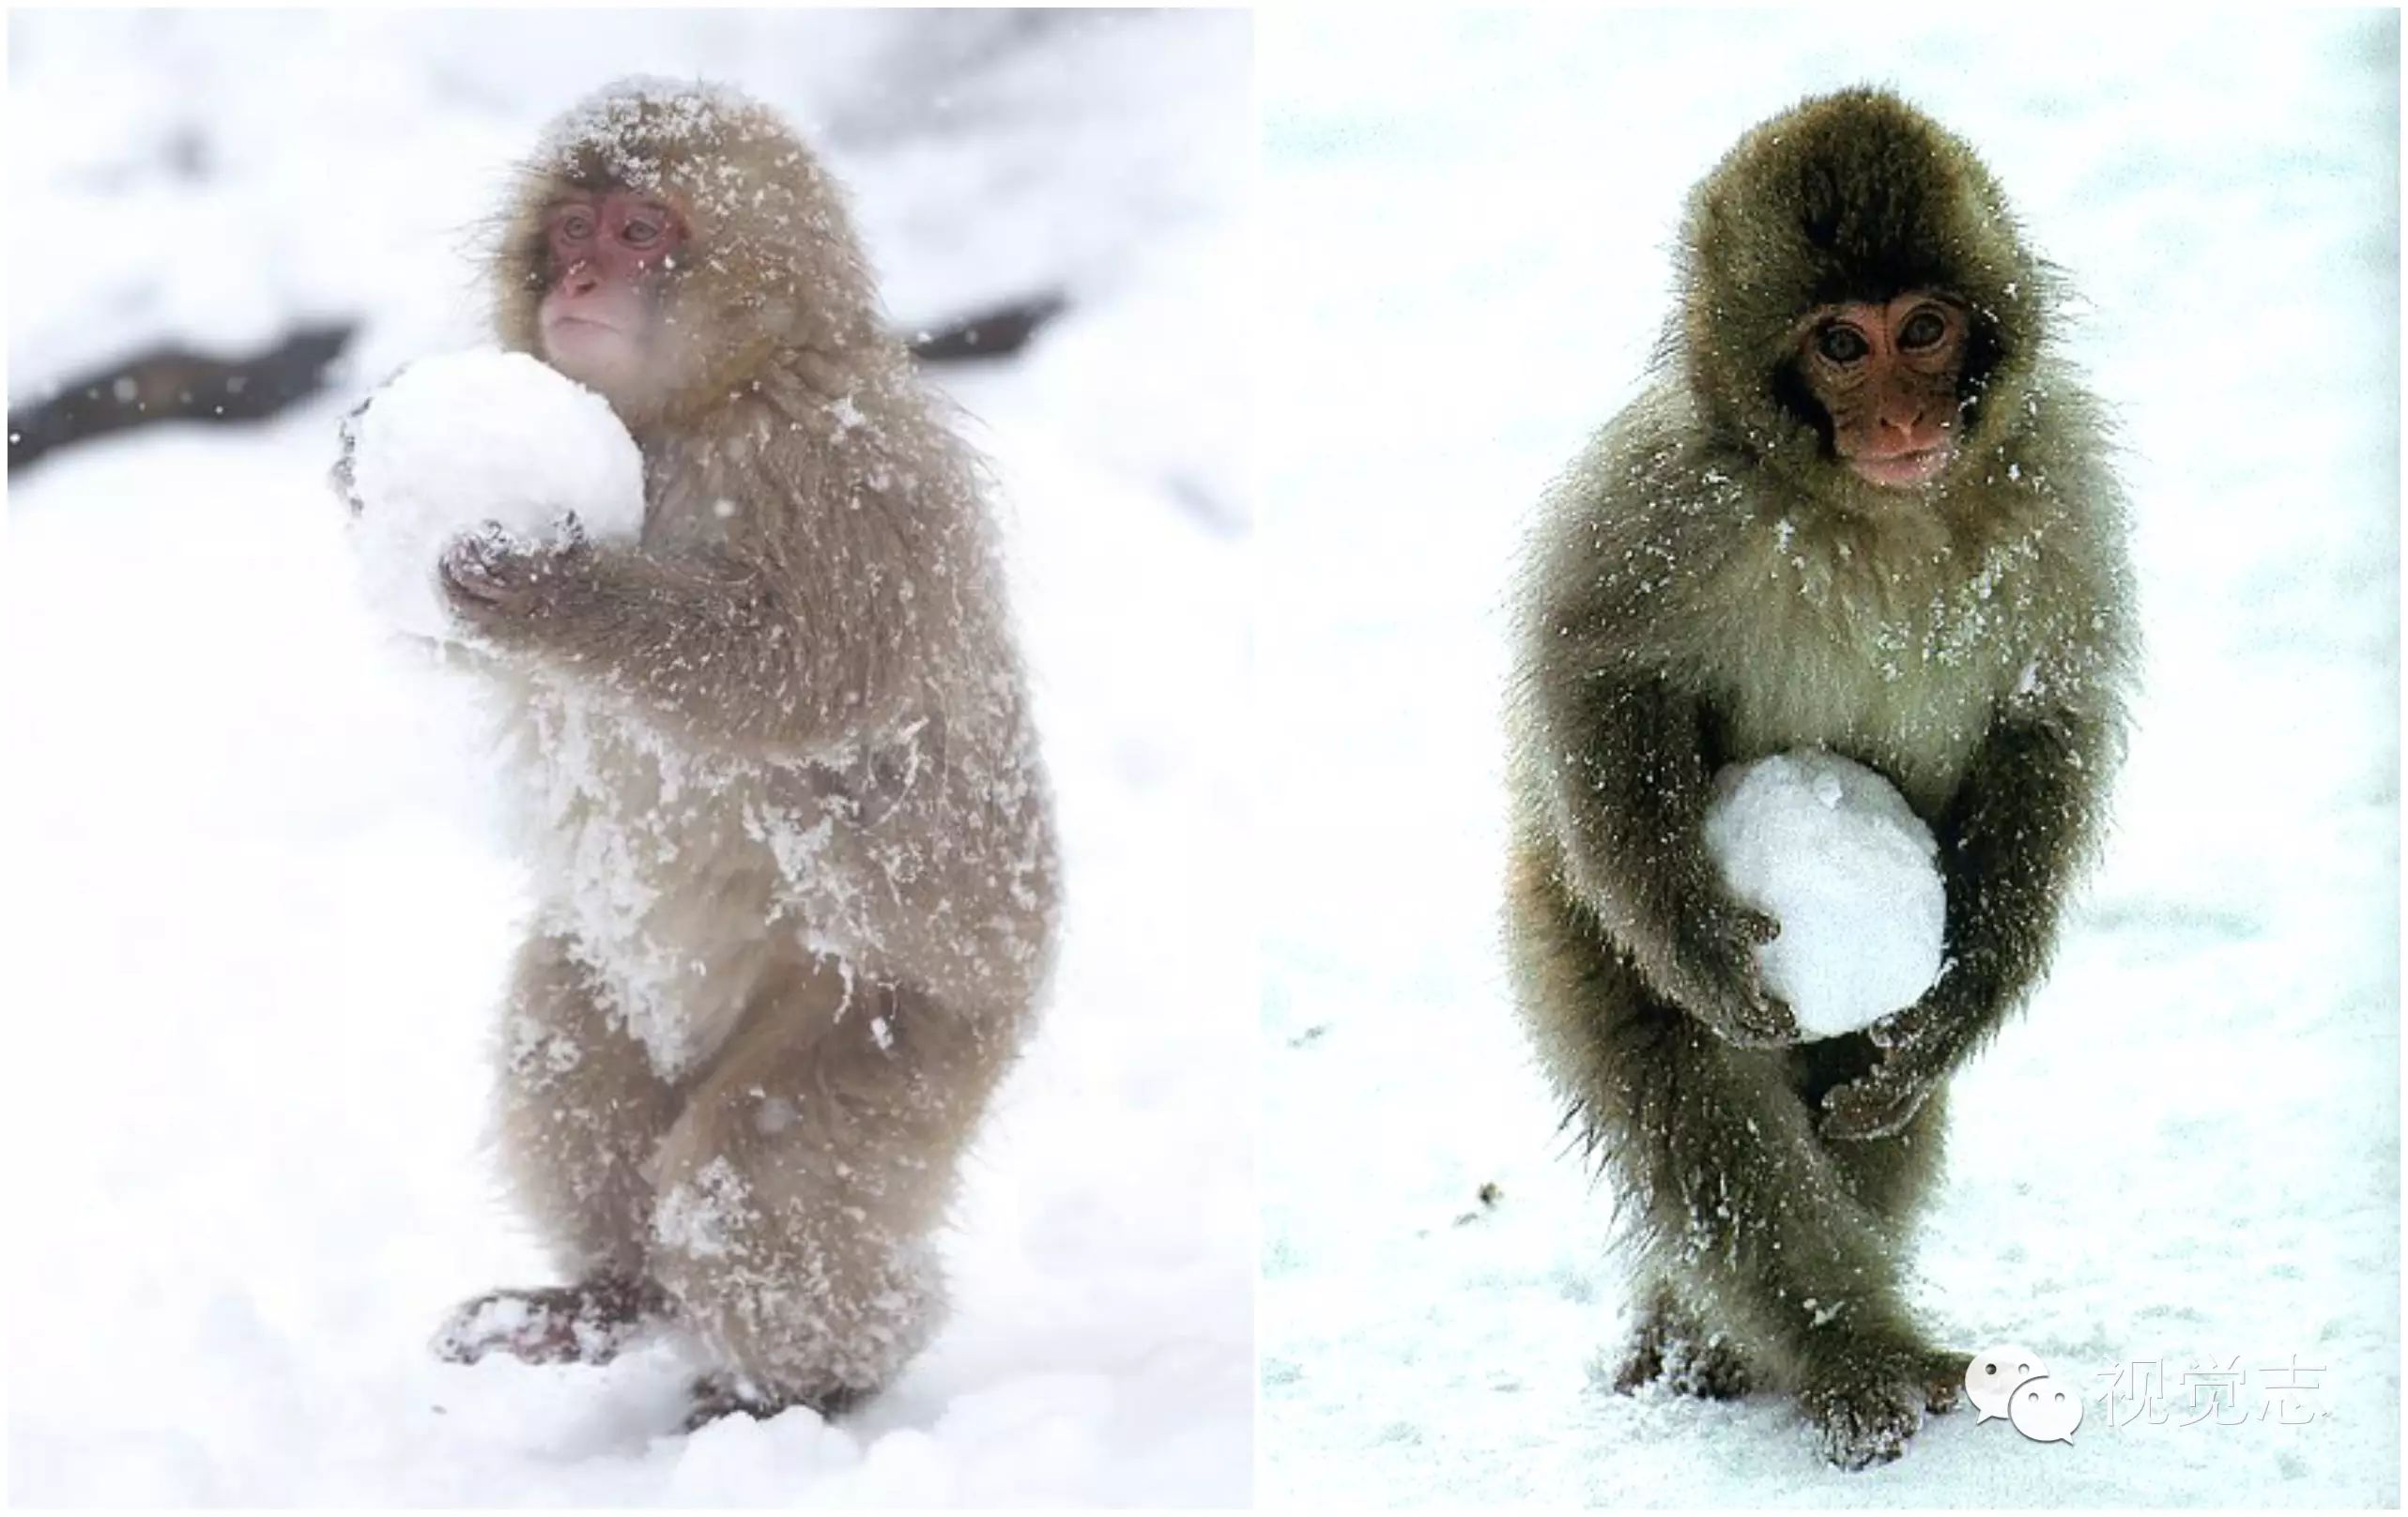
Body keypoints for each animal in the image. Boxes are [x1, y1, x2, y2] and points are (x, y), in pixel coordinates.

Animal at [390, 77, 1059, 1434]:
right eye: (574, 226)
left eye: (643, 230)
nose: (579, 282)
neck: (695, 411)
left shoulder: (842, 473)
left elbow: (797, 673)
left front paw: (554, 595)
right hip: (608, 967)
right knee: (566, 1064)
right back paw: (609, 1295)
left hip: (907, 1024)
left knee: (752, 1182)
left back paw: (808, 1381)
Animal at [1502, 85, 2147, 1473]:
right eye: (1841, 345)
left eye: (1924, 329)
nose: (1902, 421)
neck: (1874, 512)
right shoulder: (1665, 497)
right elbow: (1600, 677)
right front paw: (1696, 939)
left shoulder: (2056, 490)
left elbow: (2045, 718)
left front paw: (1965, 999)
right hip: (1567, 924)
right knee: (1702, 1113)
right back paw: (1842, 1352)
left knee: (1866, 1108)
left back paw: (1731, 1341)